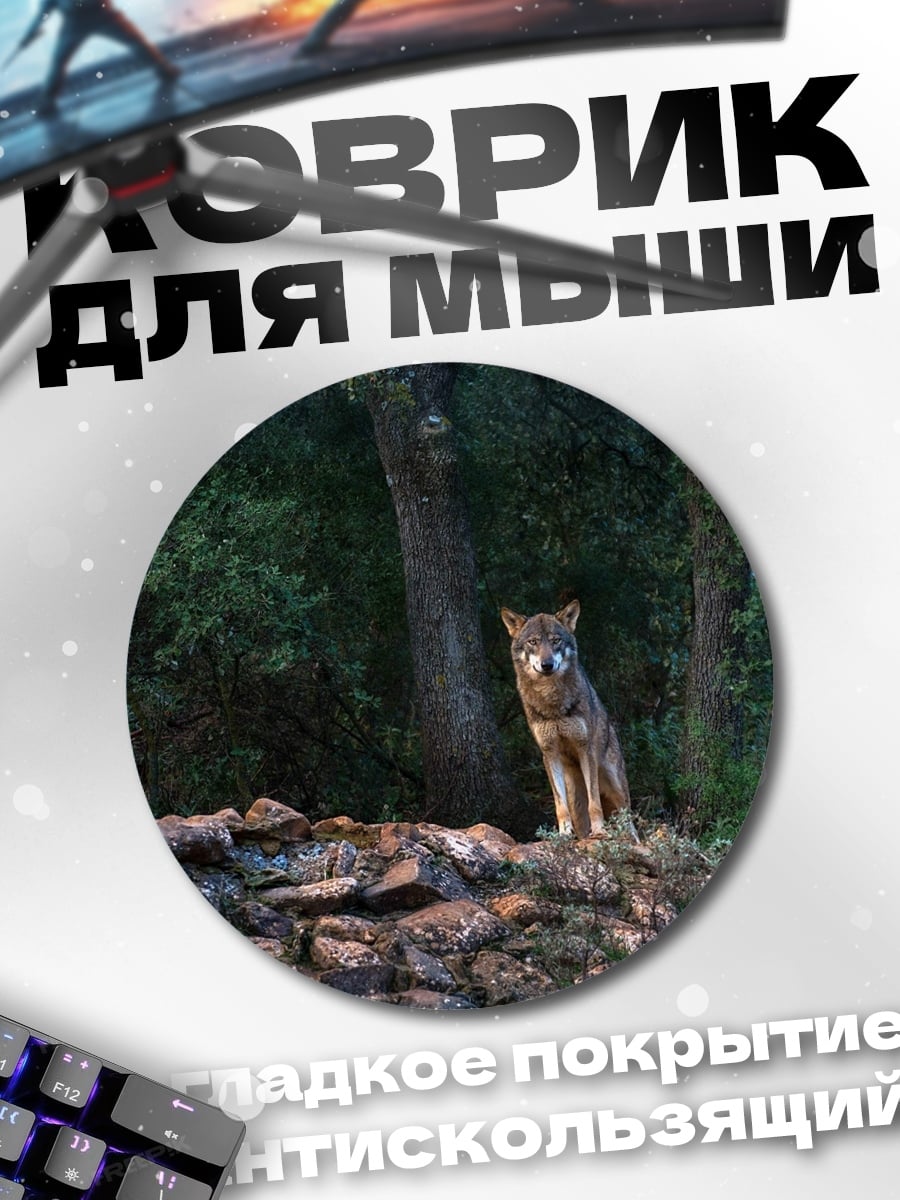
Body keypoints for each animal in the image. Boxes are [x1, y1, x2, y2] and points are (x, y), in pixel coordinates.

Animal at [501, 600, 633, 839]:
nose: (547, 664)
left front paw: (599, 830)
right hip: (576, 797)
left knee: (630, 823)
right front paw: (563, 833)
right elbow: (559, 804)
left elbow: (594, 803)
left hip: (618, 791)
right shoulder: (549, 753)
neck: (552, 702)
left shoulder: (585, 748)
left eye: (556, 640)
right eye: (533, 642)